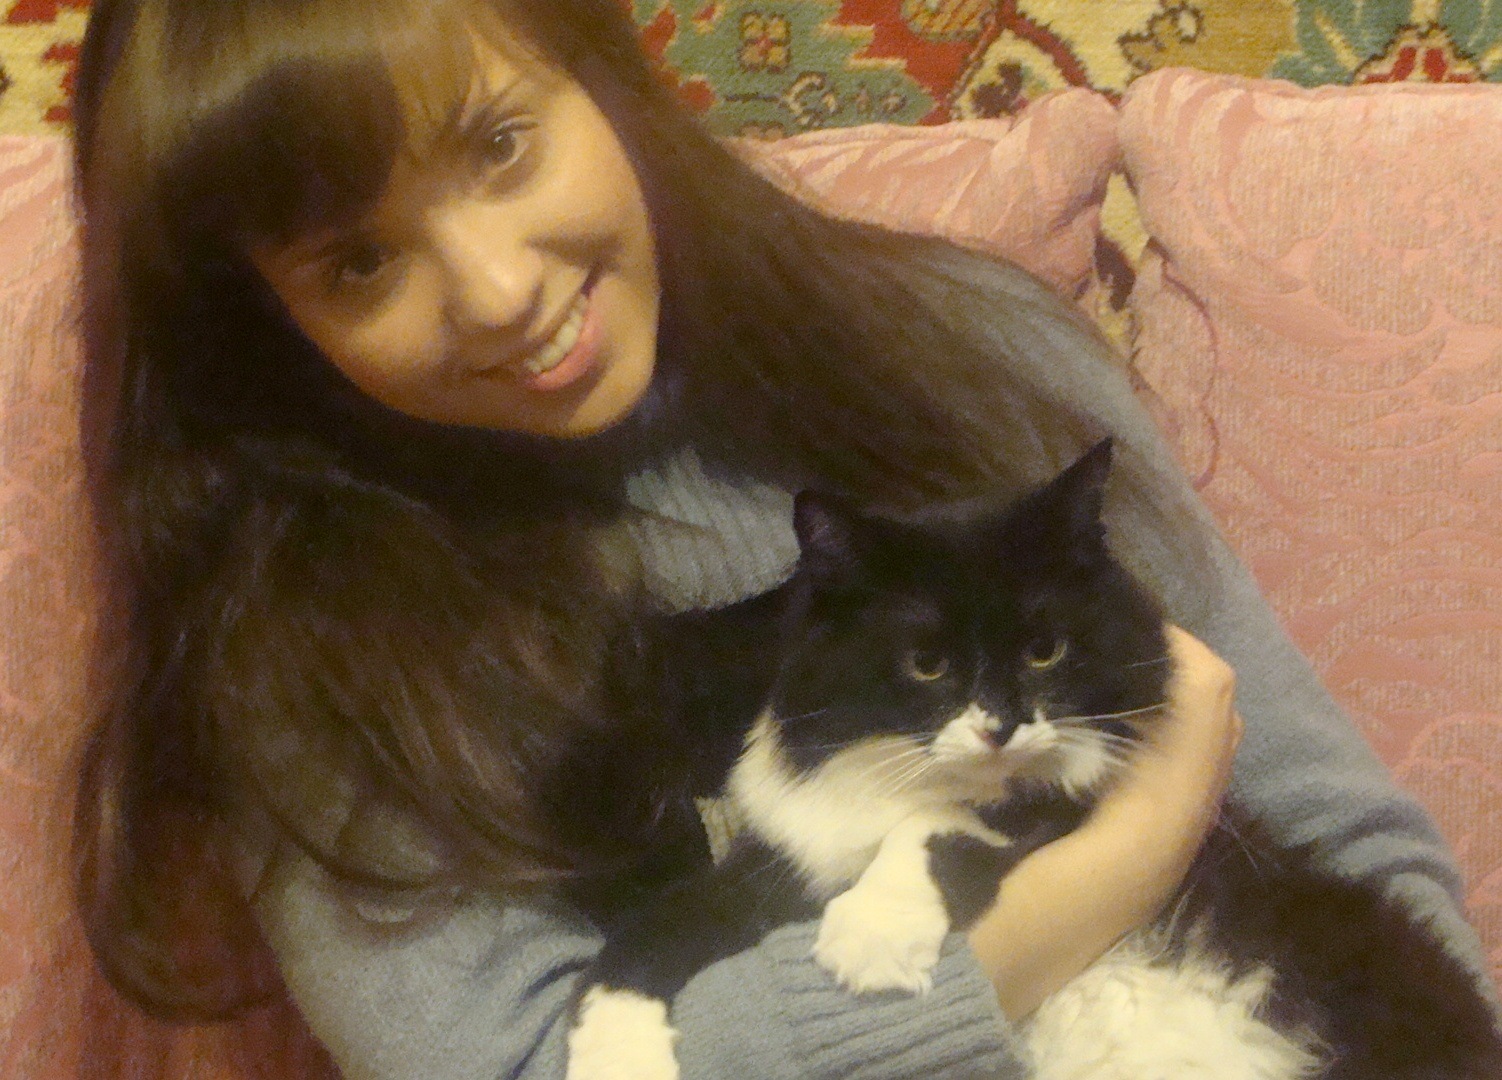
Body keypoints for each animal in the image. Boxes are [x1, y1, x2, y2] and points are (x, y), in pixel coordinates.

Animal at [564, 439, 1502, 1080]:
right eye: (927, 663)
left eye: (1045, 649)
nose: (1001, 725)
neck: (898, 767)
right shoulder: (780, 865)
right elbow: (659, 928)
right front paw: (611, 1051)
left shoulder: (1061, 794)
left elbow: (943, 825)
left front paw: (873, 933)